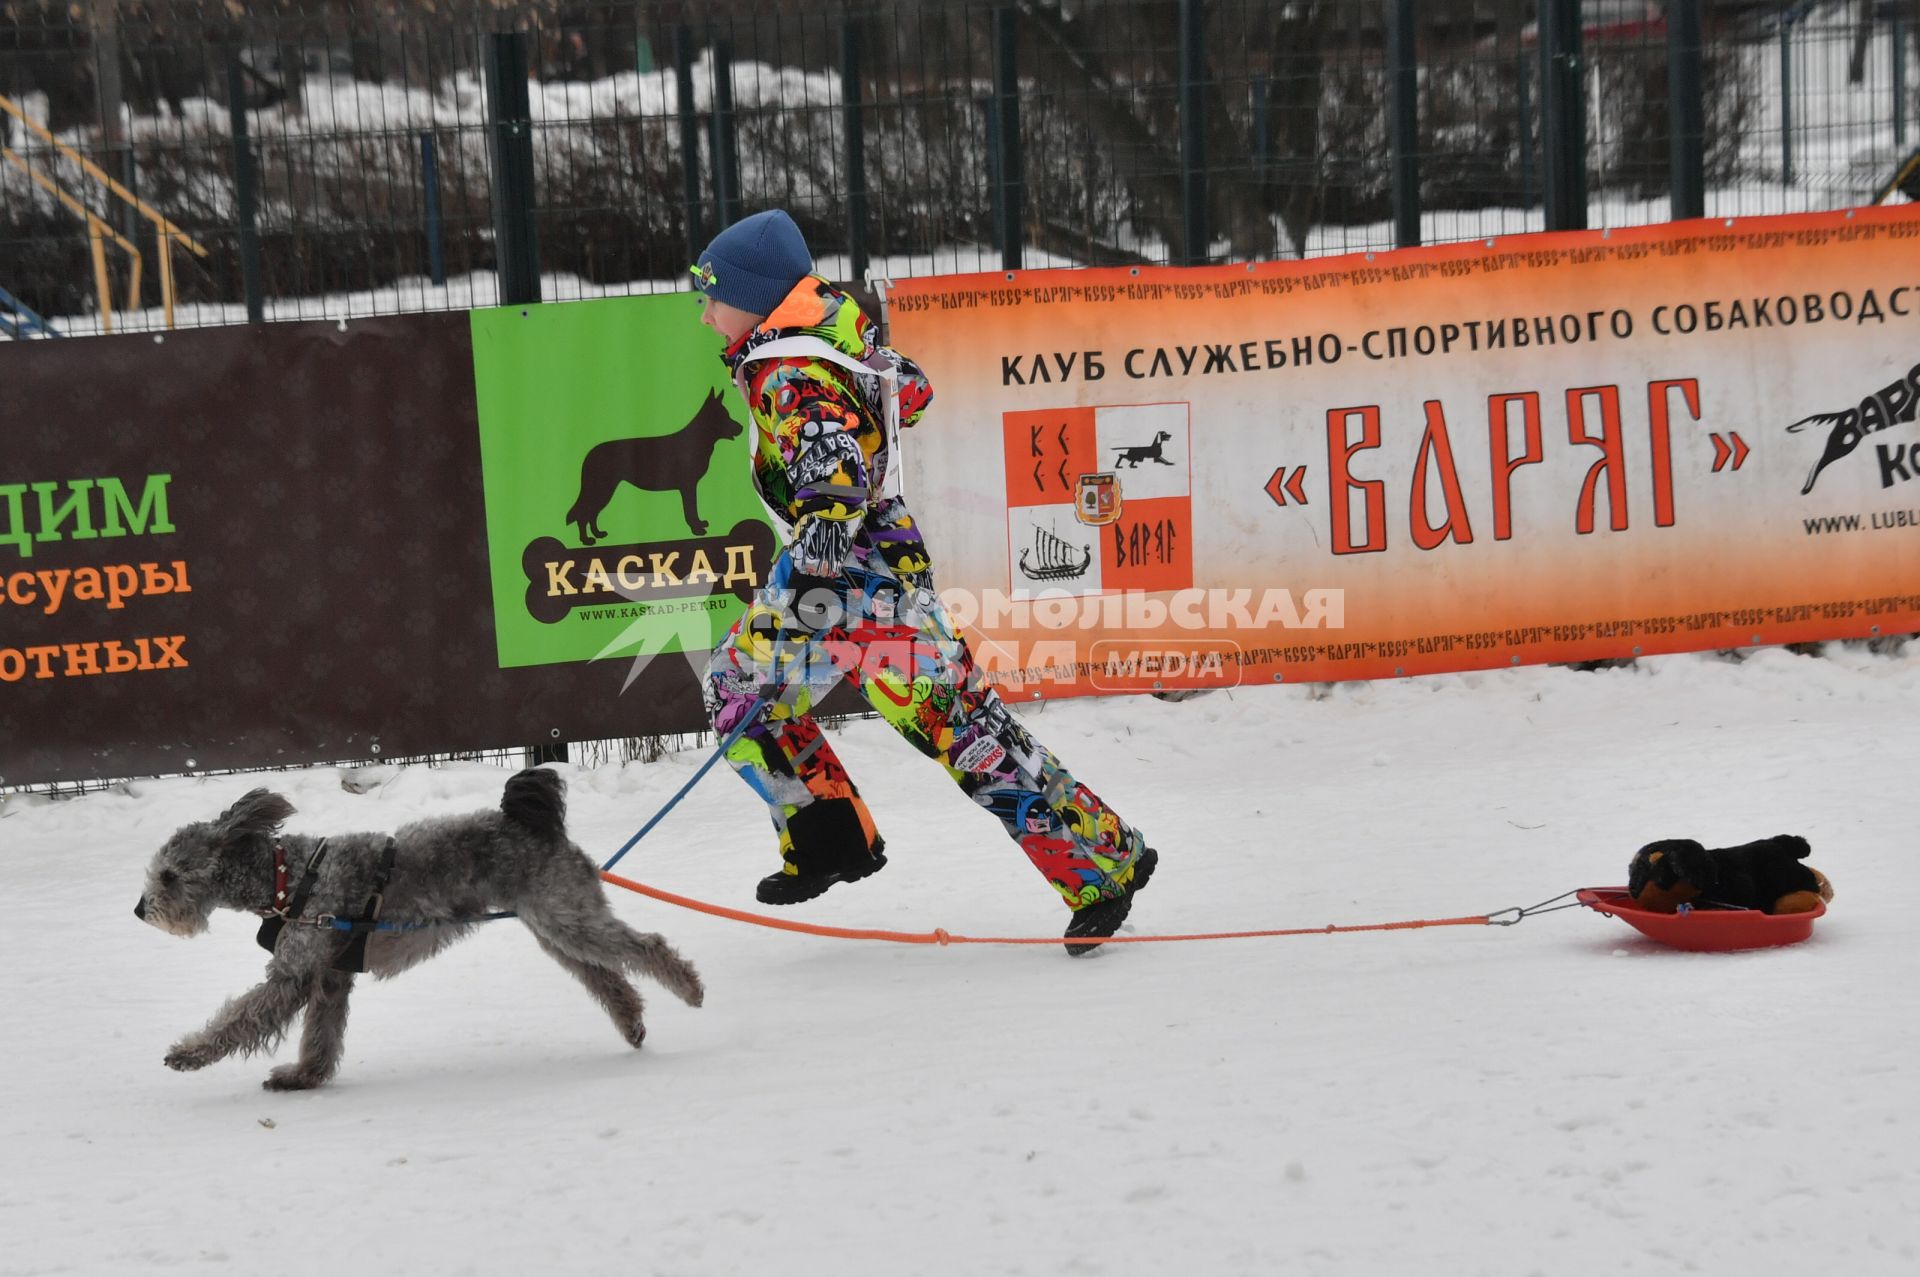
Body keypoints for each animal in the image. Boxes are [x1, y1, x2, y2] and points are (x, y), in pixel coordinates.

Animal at [137, 760, 706, 1090]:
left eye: (169, 874)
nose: (142, 910)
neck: (288, 878)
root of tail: (532, 820)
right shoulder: (330, 978)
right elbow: (320, 1034)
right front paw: (305, 1076)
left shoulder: (294, 975)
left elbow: (240, 1019)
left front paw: (188, 1053)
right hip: (556, 926)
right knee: (605, 976)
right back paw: (632, 1023)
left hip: (567, 919)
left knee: (646, 946)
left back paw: (690, 988)